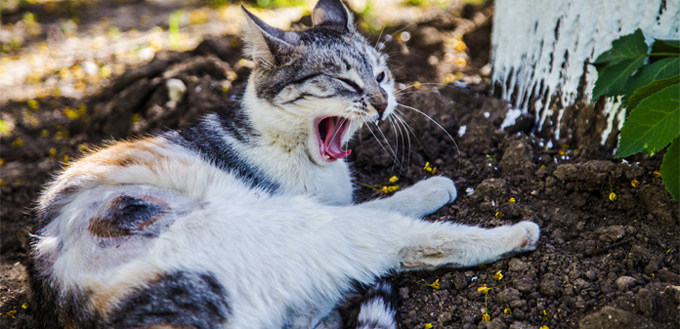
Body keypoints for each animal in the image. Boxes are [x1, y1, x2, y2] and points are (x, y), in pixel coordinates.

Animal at [26, 0, 540, 326]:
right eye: (343, 81)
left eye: (381, 75)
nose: (381, 102)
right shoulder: (311, 206)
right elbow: (385, 215)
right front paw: (437, 189)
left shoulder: (331, 200)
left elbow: (376, 202)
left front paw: (428, 188)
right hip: (283, 224)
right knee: (403, 243)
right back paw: (514, 234)